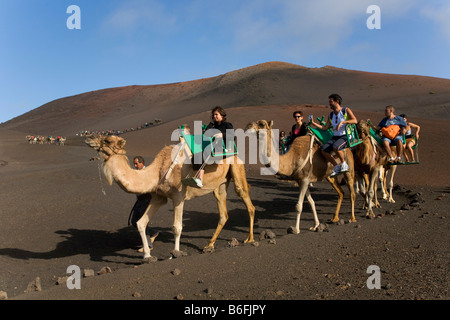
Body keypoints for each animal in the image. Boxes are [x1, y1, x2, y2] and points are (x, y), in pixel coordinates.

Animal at [83, 134, 253, 262]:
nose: (88, 138)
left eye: (107, 140)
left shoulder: (178, 197)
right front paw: (147, 256)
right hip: (220, 184)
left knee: (246, 200)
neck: (158, 171)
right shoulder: (158, 197)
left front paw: (176, 252)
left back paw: (249, 239)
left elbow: (177, 227)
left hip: (237, 168)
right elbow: (141, 223)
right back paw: (209, 245)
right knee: (223, 212)